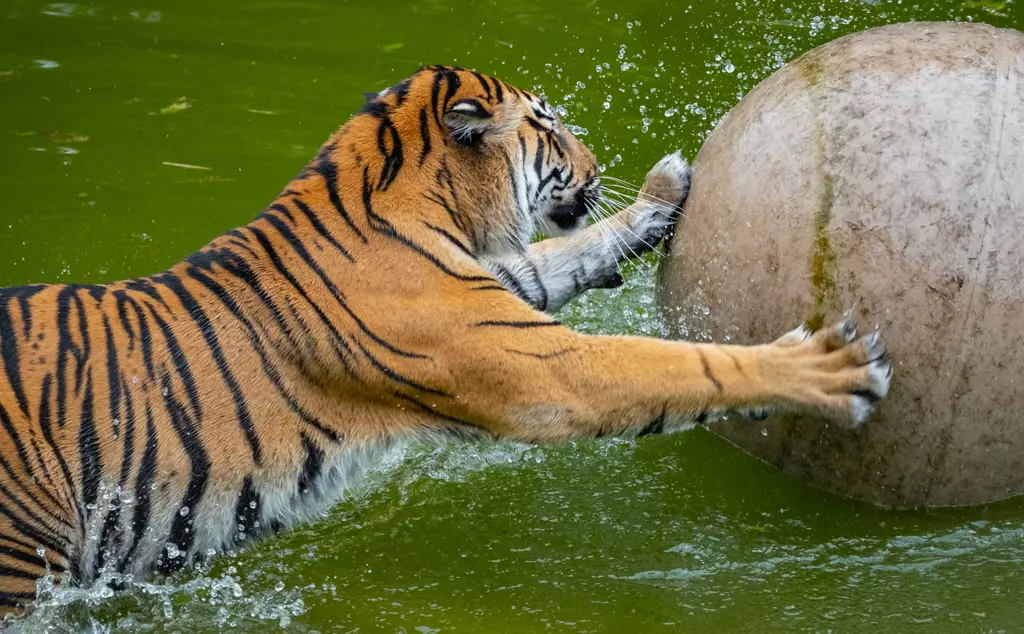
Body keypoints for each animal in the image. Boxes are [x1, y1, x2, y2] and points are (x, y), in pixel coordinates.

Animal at [0, 65, 888, 614]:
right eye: (551, 128)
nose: (598, 161)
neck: (417, 203)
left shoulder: (491, 296)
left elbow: (555, 259)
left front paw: (662, 194)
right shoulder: (535, 368)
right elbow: (681, 366)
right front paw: (828, 370)